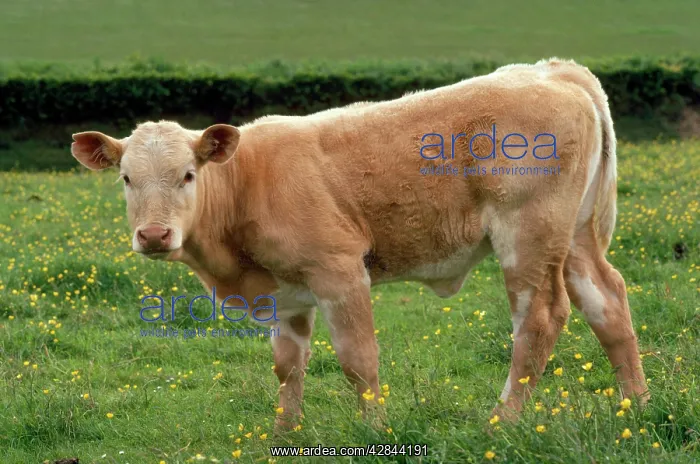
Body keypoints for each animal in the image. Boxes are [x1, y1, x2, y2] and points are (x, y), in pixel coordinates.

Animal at [71, 58, 648, 429]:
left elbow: (357, 360)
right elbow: (288, 365)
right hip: (574, 237)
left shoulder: (340, 271)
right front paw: (285, 434)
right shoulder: (286, 294)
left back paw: (501, 422)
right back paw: (636, 406)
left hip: (528, 234)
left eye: (188, 175)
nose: (153, 234)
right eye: (126, 178)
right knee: (608, 301)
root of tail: (553, 70)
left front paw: (374, 428)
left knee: (541, 318)